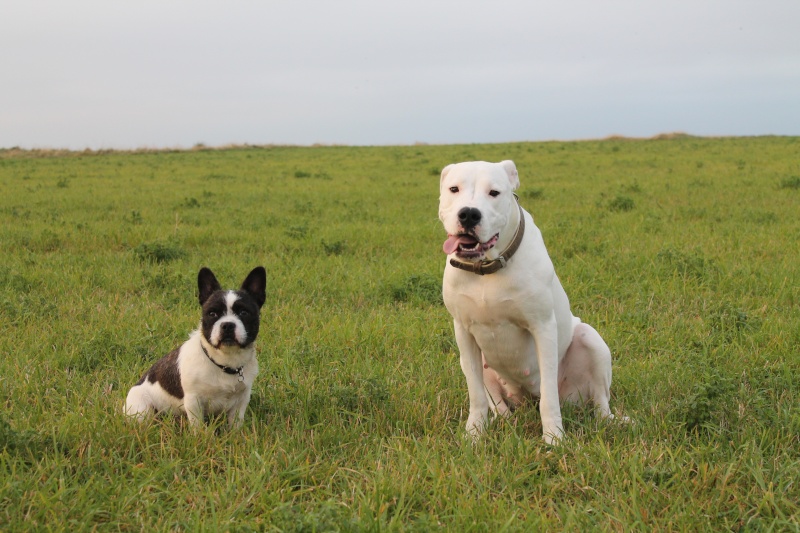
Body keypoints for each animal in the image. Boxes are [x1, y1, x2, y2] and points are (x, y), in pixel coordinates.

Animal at [125, 266, 268, 428]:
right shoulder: (194, 401)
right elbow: (197, 425)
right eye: (212, 313)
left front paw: (235, 434)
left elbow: (235, 422)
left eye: (244, 313)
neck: (225, 361)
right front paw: (200, 434)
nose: (227, 325)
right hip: (142, 410)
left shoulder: (241, 399)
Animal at [440, 160, 616, 442]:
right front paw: (474, 435)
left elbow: (549, 398)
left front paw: (554, 439)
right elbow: (476, 395)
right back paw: (504, 421)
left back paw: (613, 422)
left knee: (600, 402)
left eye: (494, 192)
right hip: (476, 365)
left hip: (591, 341)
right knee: (497, 403)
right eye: (453, 189)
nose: (468, 214)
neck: (487, 268)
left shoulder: (542, 327)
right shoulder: (463, 332)